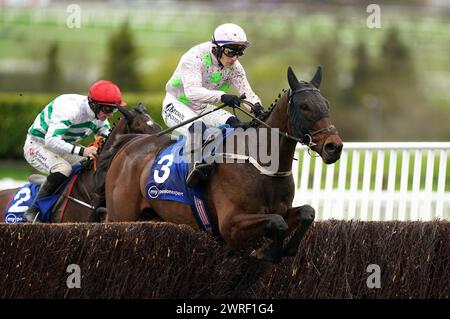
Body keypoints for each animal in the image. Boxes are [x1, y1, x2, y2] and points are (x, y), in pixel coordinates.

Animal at [101, 67, 342, 262]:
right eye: (304, 106)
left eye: (327, 104)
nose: (334, 147)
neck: (262, 165)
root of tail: (130, 142)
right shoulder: (230, 225)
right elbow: (277, 222)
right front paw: (267, 252)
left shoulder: (282, 210)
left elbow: (307, 212)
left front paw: (286, 249)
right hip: (121, 216)